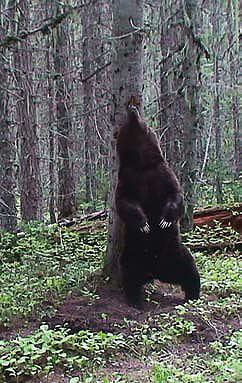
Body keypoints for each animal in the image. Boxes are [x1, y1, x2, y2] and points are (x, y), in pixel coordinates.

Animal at [115, 98, 200, 308]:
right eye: (124, 125)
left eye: (144, 121)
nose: (132, 108)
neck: (141, 163)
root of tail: (155, 272)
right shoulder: (128, 179)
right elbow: (125, 202)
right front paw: (144, 223)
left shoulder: (162, 173)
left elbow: (175, 194)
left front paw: (165, 220)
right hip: (132, 253)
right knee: (129, 275)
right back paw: (136, 301)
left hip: (175, 253)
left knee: (189, 269)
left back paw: (192, 295)